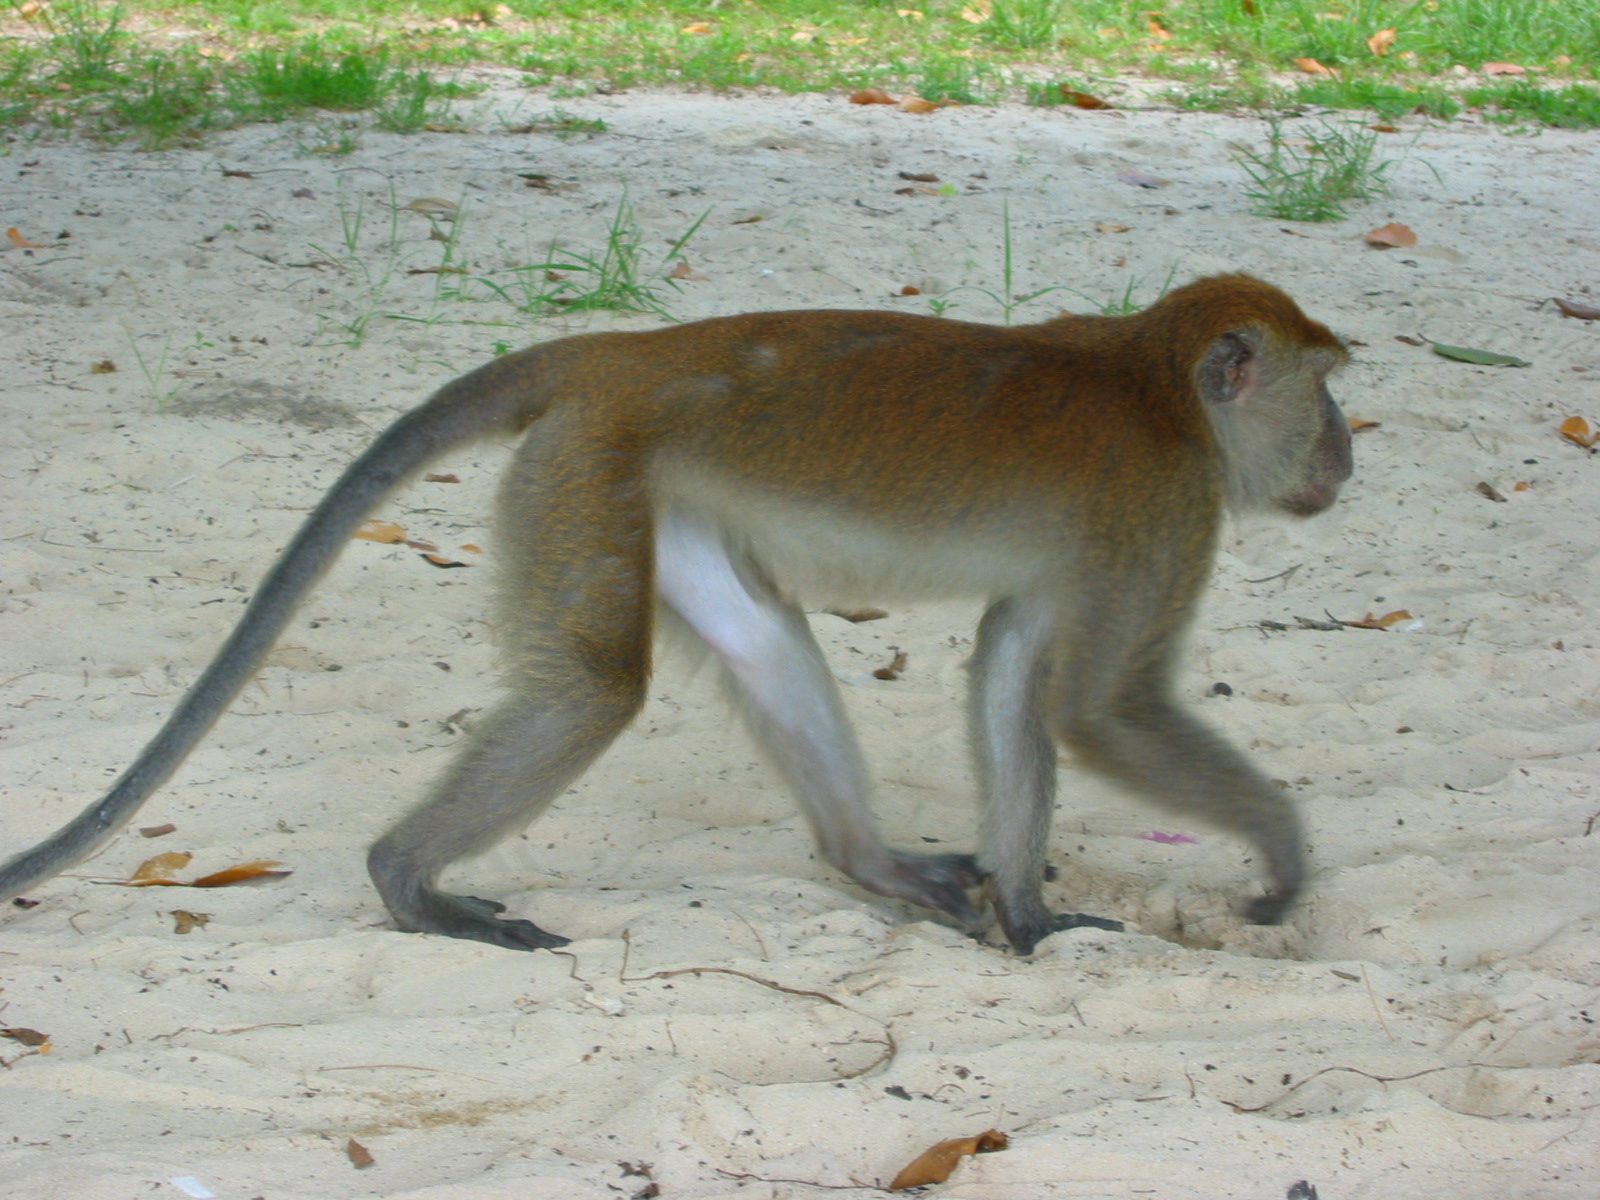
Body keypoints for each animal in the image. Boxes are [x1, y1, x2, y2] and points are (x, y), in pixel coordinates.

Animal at [0, 275, 1350, 960]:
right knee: (599, 686)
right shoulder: (1166, 508)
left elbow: (1017, 676)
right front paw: (1281, 857)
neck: (1151, 382)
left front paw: (1024, 913)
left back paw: (867, 865)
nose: (1349, 450)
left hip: (649, 488)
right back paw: (407, 882)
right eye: (1325, 387)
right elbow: (1102, 712)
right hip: (588, 469)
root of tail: (618, 354)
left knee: (760, 642)